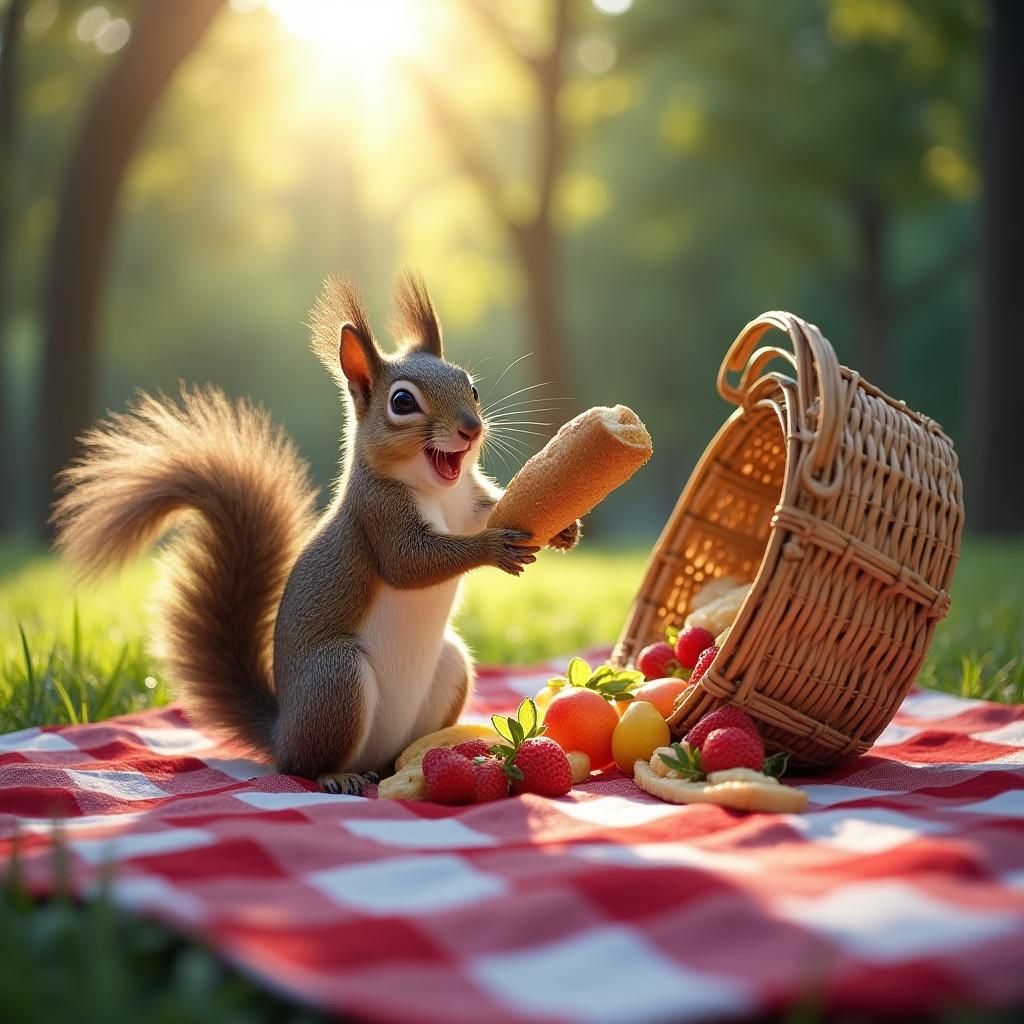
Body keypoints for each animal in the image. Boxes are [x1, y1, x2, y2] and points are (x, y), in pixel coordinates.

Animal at [53, 273, 580, 794]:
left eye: (471, 388)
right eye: (402, 402)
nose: (471, 429)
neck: (438, 491)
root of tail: (281, 732)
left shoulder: (469, 502)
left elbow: (490, 511)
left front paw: (565, 530)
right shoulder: (378, 514)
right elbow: (410, 563)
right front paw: (493, 548)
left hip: (450, 669)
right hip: (336, 680)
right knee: (304, 767)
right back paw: (337, 775)